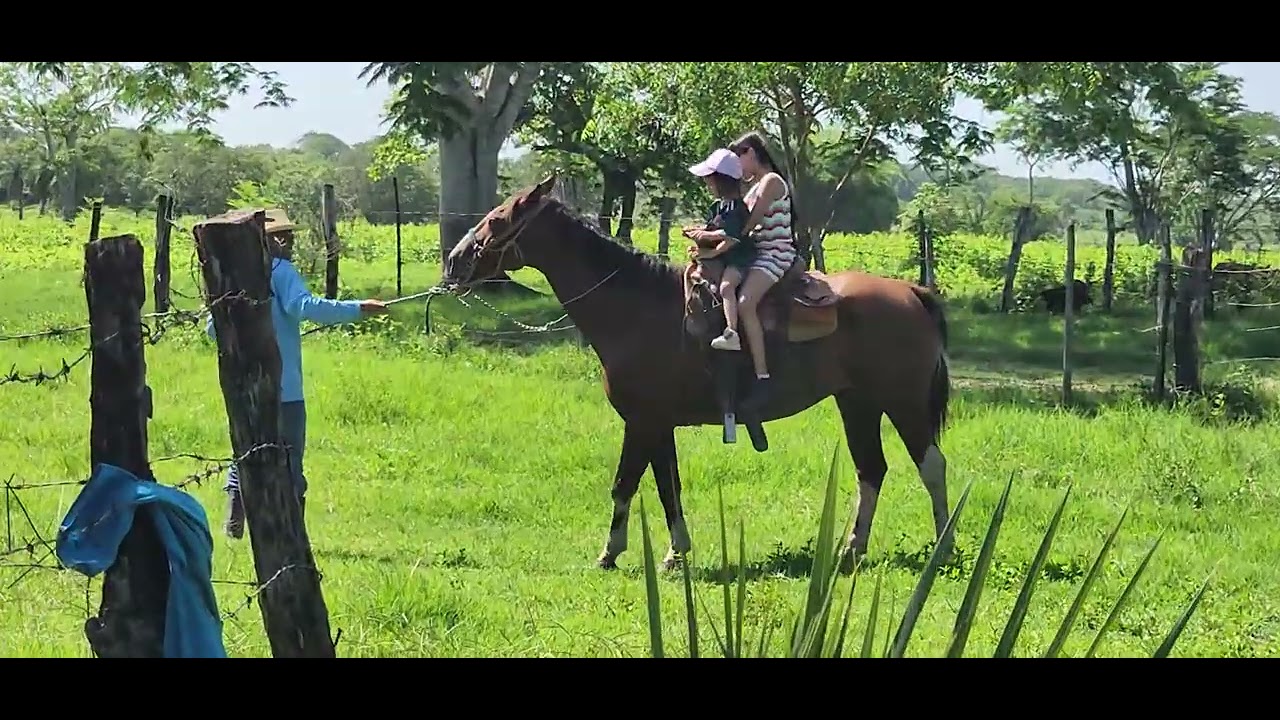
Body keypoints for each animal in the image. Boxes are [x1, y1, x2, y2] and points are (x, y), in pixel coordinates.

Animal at [442, 174, 953, 573]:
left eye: (497, 219)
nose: (454, 260)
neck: (638, 309)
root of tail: (911, 292)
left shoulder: (643, 421)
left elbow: (627, 483)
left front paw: (610, 553)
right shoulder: (658, 423)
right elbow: (667, 486)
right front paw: (674, 552)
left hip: (902, 402)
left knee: (931, 465)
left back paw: (943, 548)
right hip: (857, 403)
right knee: (872, 469)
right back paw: (852, 551)